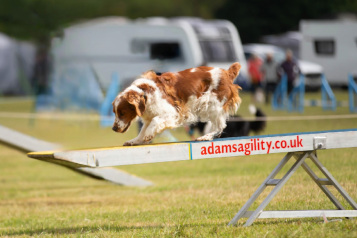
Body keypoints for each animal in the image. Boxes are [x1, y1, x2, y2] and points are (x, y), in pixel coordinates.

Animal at [111, 62, 242, 145]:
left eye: (122, 113)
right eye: (115, 112)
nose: (114, 128)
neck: (145, 93)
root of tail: (226, 73)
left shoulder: (173, 112)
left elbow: (154, 122)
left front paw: (148, 134)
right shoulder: (149, 117)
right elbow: (142, 131)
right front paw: (134, 141)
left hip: (212, 104)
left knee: (220, 126)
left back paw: (205, 137)